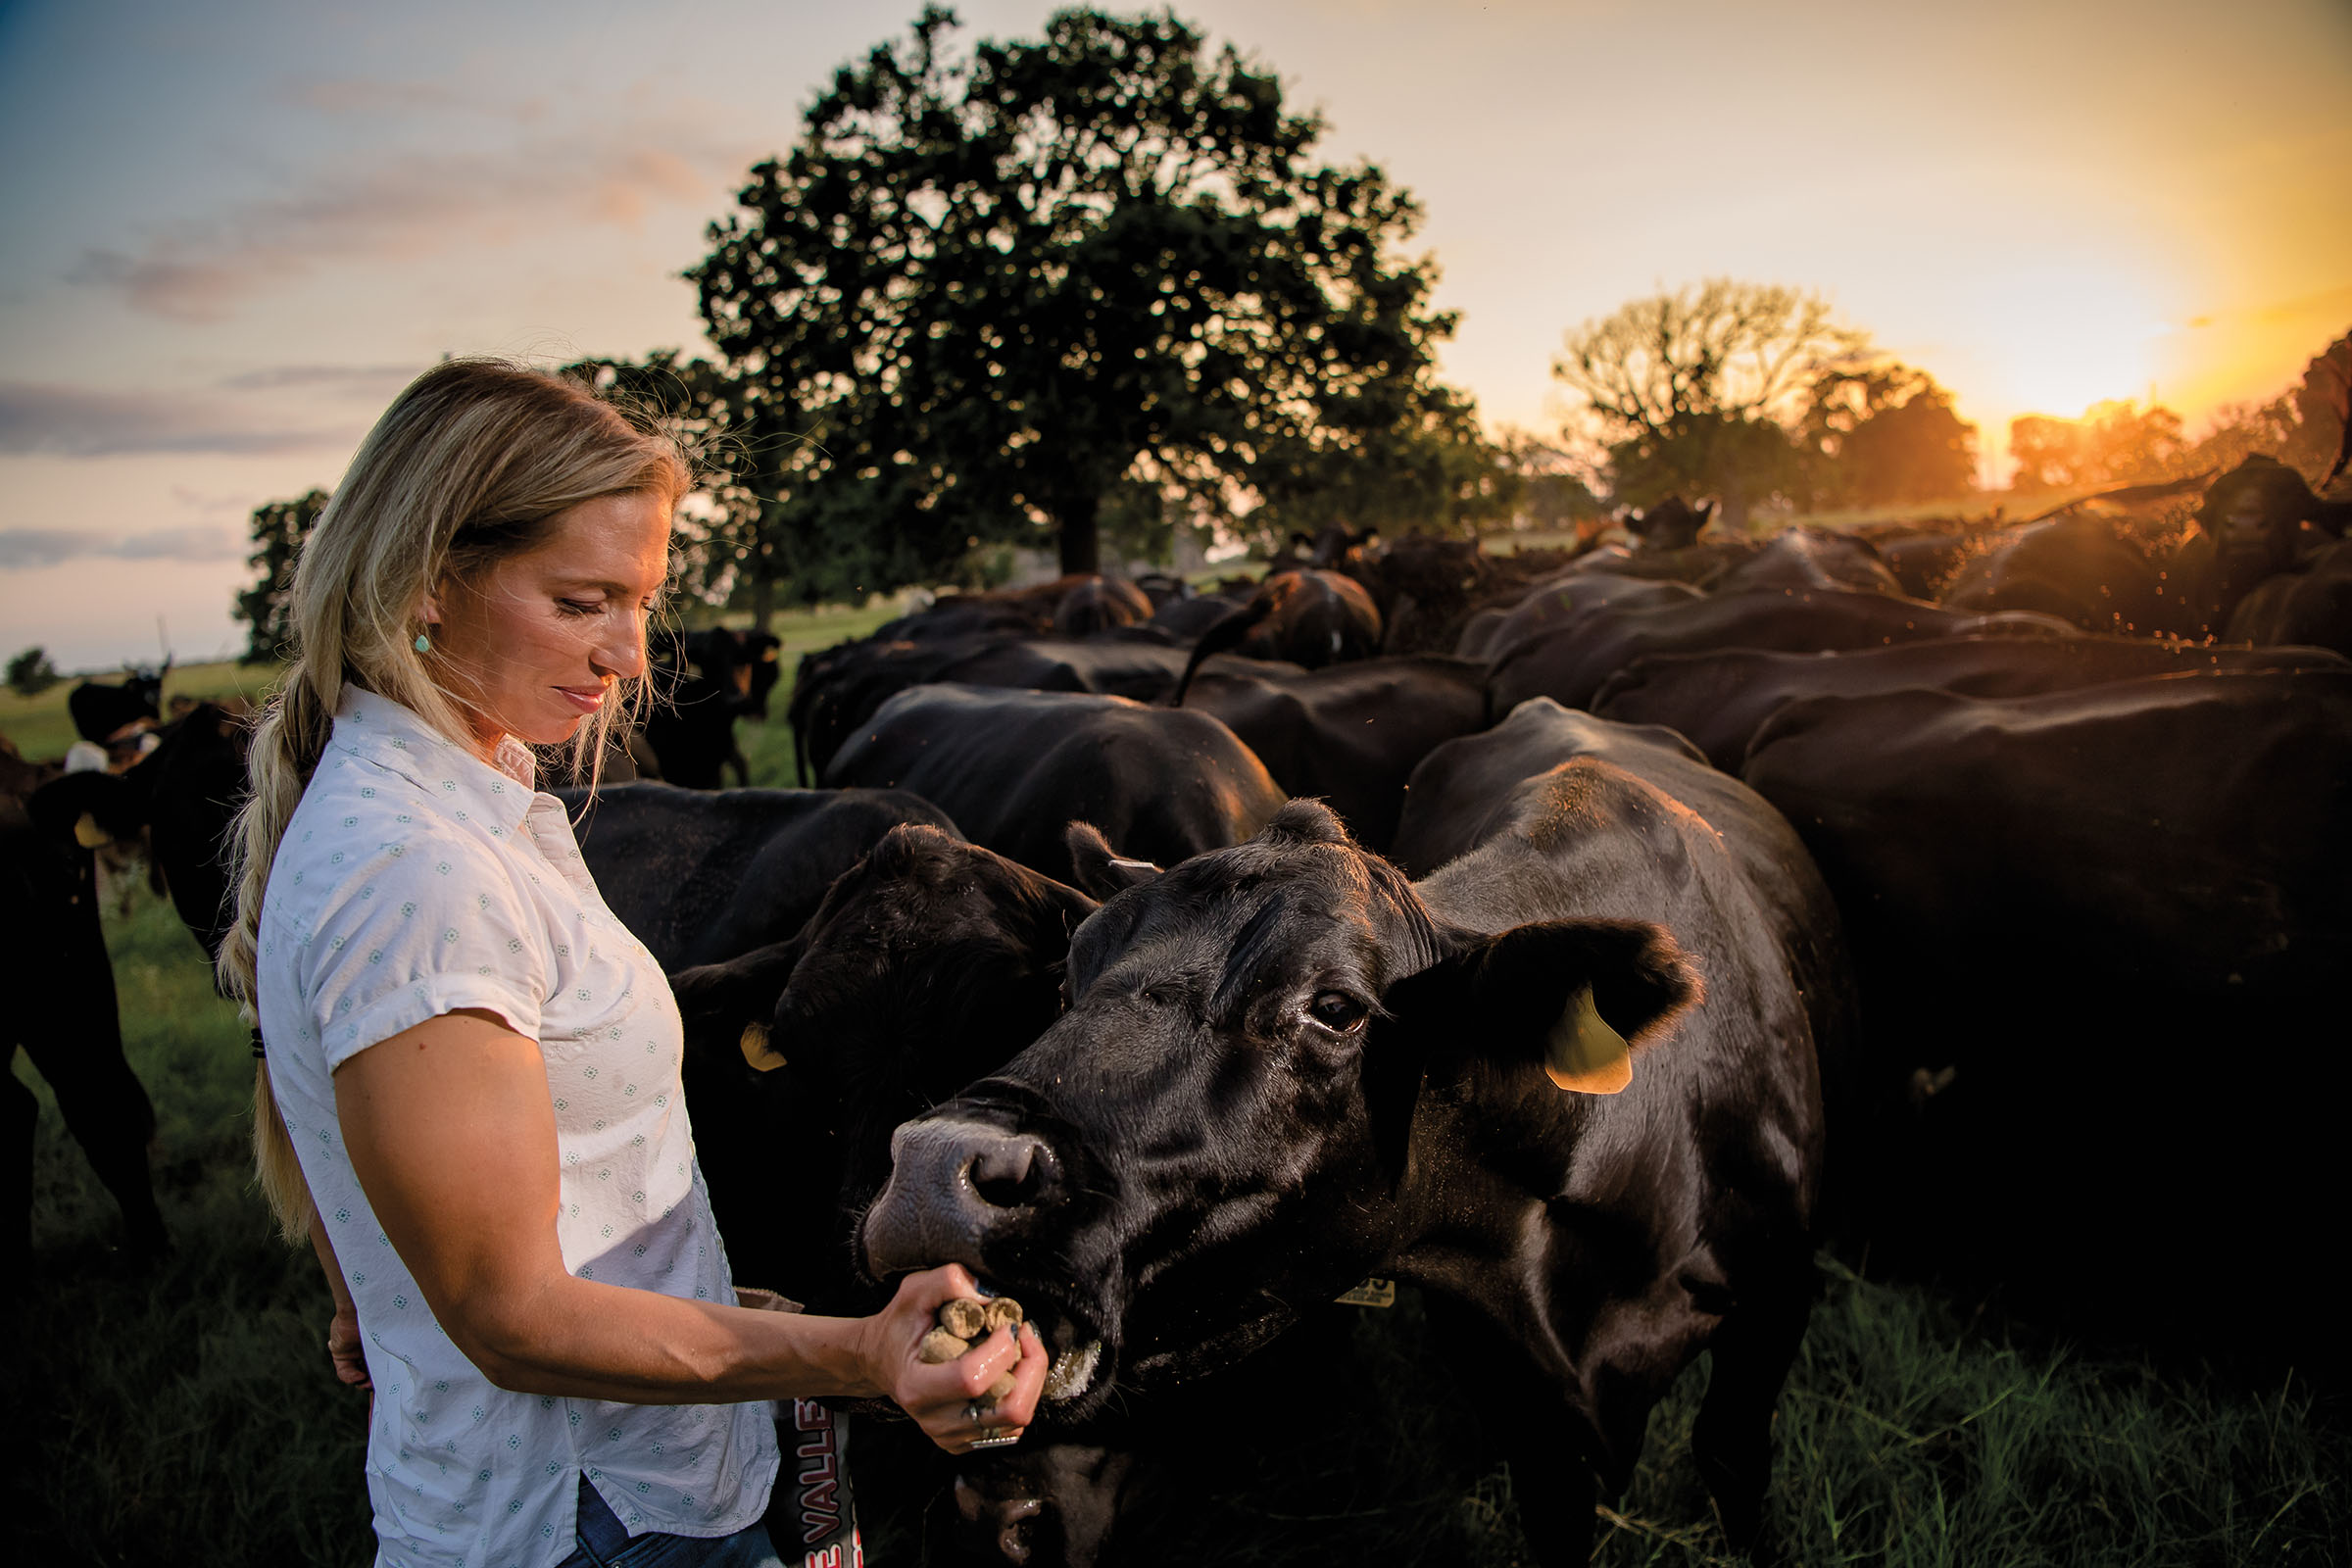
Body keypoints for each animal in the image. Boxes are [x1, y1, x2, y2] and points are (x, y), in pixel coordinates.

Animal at [865, 710, 1853, 1560]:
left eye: (1335, 1008)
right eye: (1071, 977)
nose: (931, 1171)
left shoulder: (1779, 1298)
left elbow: (1732, 1457)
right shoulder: (1508, 1380)